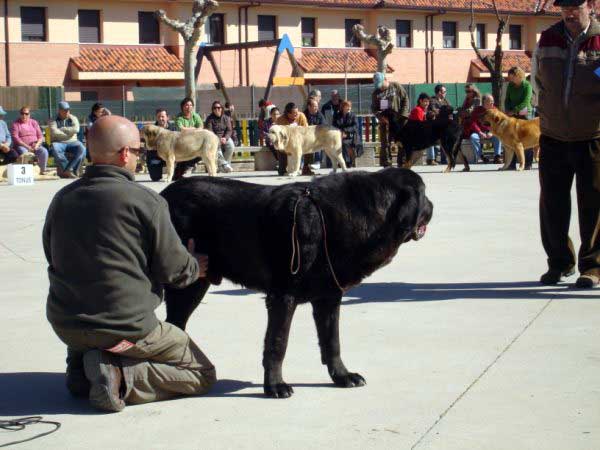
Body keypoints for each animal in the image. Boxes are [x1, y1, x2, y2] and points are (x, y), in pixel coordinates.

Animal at [159, 168, 432, 398]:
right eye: (424, 193)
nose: (432, 205)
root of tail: (163, 195)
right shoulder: (283, 297)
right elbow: (277, 343)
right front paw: (275, 385)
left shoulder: (329, 298)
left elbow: (332, 341)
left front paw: (342, 376)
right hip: (188, 283)